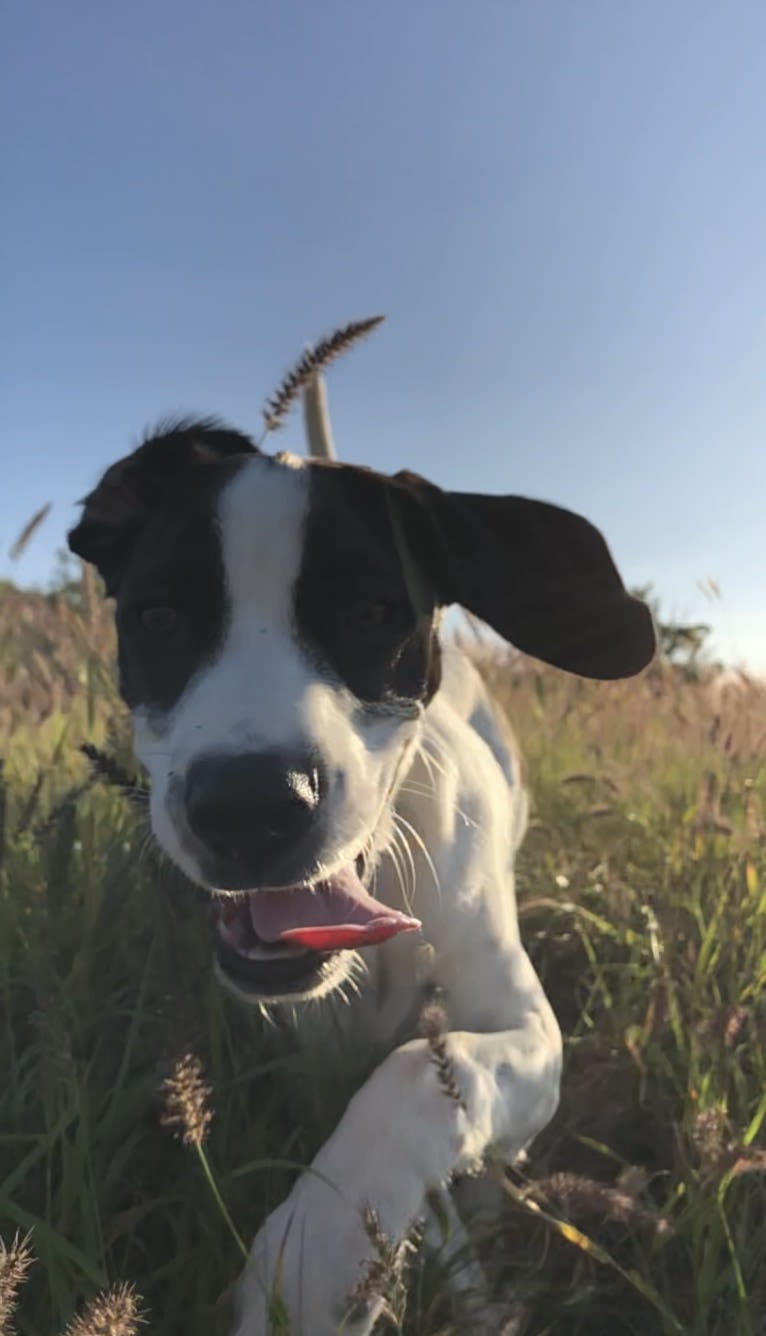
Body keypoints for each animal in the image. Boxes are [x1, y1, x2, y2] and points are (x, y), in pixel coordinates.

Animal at [67, 414, 652, 1325]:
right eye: (158, 616)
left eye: (370, 611)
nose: (249, 805)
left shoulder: (529, 1035)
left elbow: (421, 1071)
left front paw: (319, 1252)